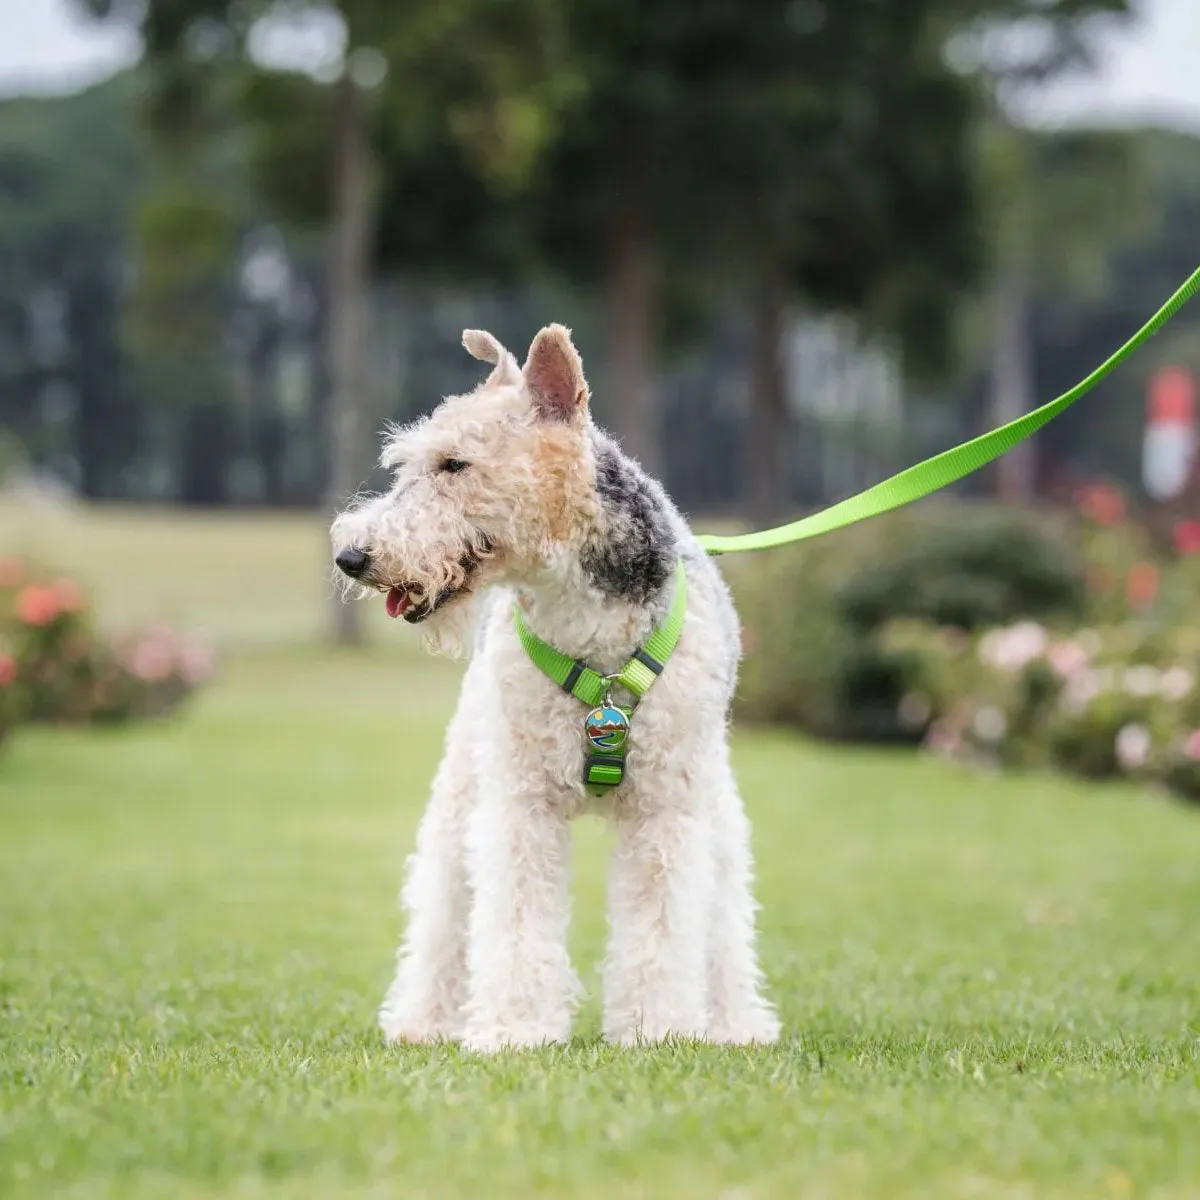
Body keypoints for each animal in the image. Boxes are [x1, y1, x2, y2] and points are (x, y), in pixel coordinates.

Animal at [328, 324, 777, 1046]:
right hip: (462, 789)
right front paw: (514, 1029)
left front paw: (656, 1030)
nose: (352, 557)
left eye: (454, 464)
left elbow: (663, 927)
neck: (587, 624)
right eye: (409, 464)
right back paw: (422, 1020)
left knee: (725, 916)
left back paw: (735, 1021)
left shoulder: (665, 811)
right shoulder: (520, 802)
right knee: (441, 912)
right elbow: (512, 923)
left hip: (715, 805)